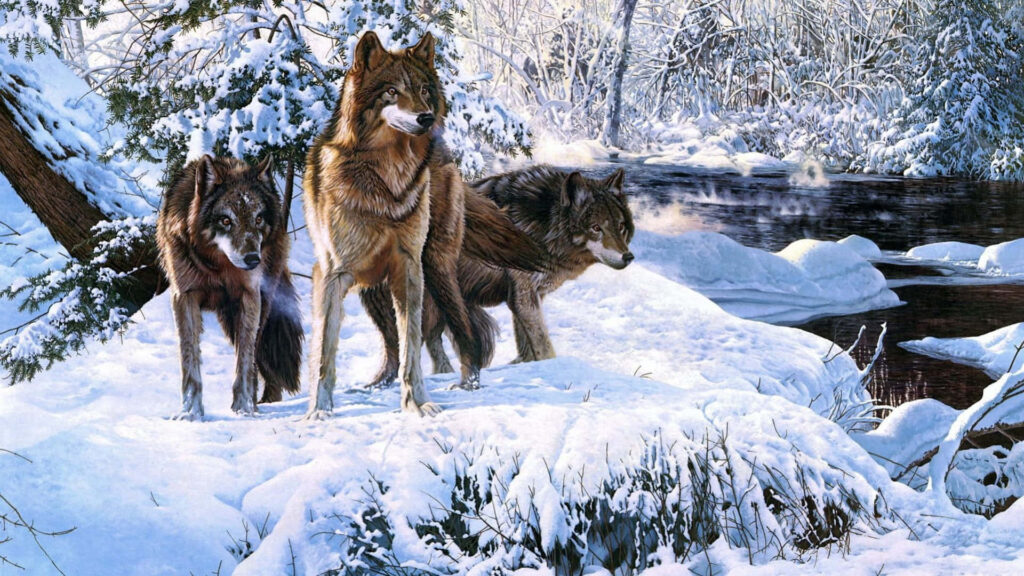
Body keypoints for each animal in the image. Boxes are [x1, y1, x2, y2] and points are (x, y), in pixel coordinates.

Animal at [157, 155, 303, 421]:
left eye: (258, 219)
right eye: (226, 220)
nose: (253, 259)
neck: (218, 267)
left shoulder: (249, 296)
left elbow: (245, 360)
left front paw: (243, 408)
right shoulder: (184, 297)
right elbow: (189, 359)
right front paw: (190, 413)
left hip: (258, 307)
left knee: (256, 353)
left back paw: (259, 403)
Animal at [303, 31, 545, 418]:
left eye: (423, 90)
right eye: (391, 91)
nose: (426, 118)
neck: (385, 182)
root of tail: (445, 154)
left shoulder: (409, 268)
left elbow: (412, 347)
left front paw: (417, 405)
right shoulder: (332, 273)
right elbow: (325, 350)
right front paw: (319, 411)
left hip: (435, 267)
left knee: (464, 330)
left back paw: (468, 383)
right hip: (373, 292)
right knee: (390, 346)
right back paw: (377, 385)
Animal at [364, 166, 634, 381]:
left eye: (620, 226)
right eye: (596, 228)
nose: (628, 257)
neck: (544, 225)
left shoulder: (527, 297)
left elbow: (527, 347)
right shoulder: (524, 295)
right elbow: (544, 346)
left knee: (430, 345)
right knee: (400, 353)